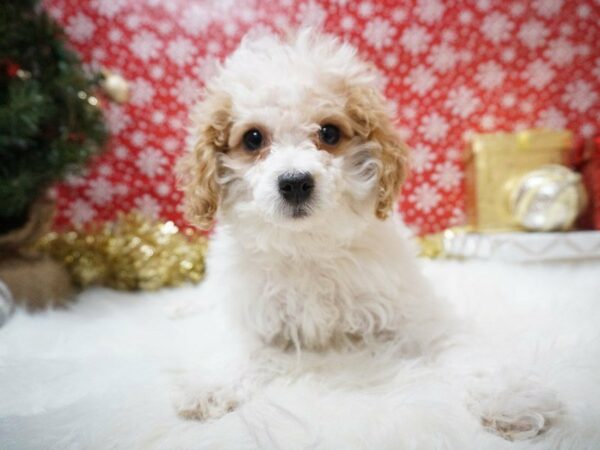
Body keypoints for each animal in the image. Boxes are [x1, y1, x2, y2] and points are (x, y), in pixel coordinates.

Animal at [175, 29, 564, 440]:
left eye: (329, 132)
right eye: (252, 139)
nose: (295, 182)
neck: (308, 246)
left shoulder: (416, 314)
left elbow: (461, 347)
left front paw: (511, 396)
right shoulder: (250, 312)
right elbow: (236, 343)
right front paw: (211, 383)